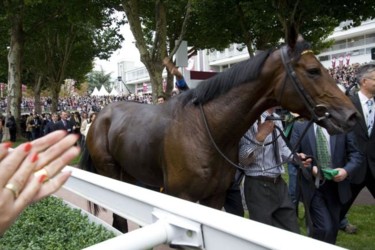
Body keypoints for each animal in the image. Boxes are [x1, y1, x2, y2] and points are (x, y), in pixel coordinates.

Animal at [78, 35, 358, 232]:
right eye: (313, 70)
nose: (351, 116)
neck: (206, 131)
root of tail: (100, 116)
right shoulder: (180, 196)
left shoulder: (215, 196)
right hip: (109, 170)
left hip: (128, 173)